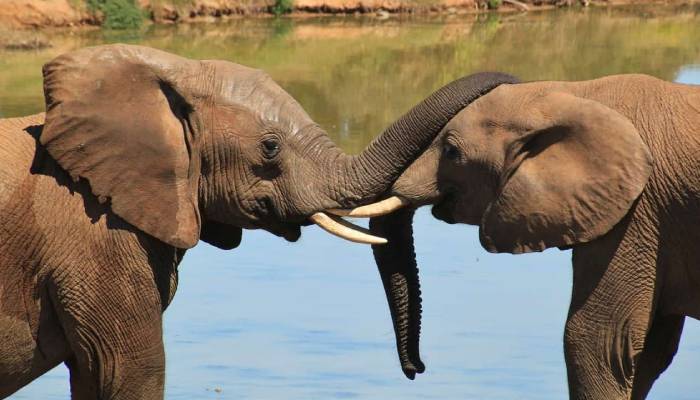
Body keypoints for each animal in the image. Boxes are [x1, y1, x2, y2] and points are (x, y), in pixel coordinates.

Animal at [339, 74, 700, 399]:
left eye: (452, 152)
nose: (417, 369)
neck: (575, 94)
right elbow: (649, 352)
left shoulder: (636, 214)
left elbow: (597, 342)